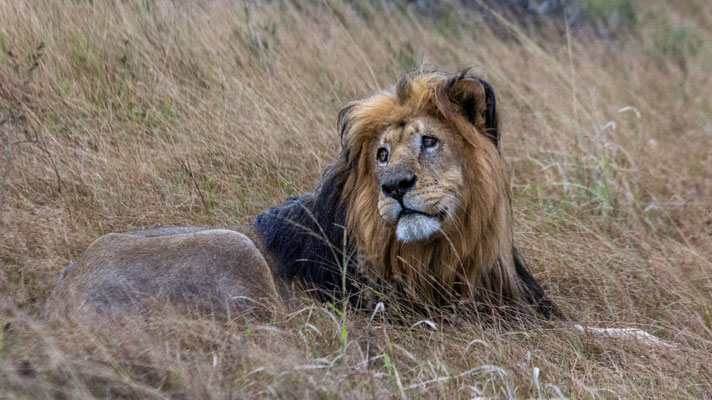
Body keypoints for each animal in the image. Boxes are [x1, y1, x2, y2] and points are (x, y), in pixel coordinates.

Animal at [47, 70, 563, 322]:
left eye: (429, 142)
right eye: (381, 154)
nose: (395, 186)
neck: (445, 251)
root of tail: (61, 287)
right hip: (234, 248)